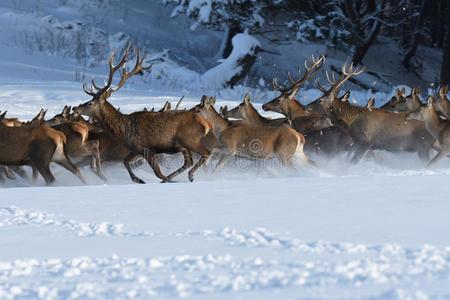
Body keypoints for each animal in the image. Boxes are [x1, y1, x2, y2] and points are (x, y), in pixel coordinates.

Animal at [73, 45, 214, 183]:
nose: (75, 108)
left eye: (90, 103)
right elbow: (125, 162)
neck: (123, 130)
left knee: (206, 153)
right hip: (183, 146)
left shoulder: (146, 148)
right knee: (188, 162)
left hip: (190, 139)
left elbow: (158, 173)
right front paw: (138, 179)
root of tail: (206, 124)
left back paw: (189, 176)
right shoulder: (135, 149)